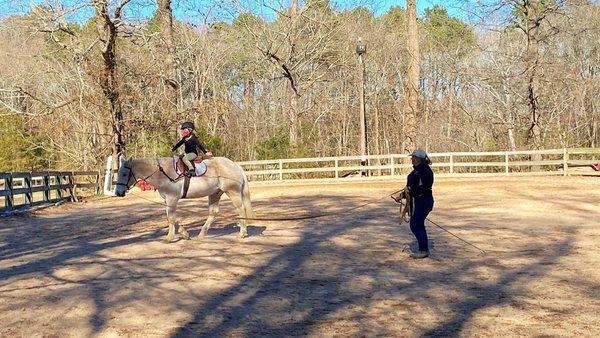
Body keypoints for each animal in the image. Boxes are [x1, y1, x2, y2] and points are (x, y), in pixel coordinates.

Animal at [113, 157, 254, 242]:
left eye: (124, 174)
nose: (118, 193)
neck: (163, 173)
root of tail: (235, 165)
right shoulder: (167, 200)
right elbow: (171, 218)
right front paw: (184, 234)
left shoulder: (172, 199)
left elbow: (171, 218)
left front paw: (170, 237)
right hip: (215, 194)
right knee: (213, 213)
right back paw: (202, 234)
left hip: (233, 192)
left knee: (241, 210)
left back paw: (242, 233)